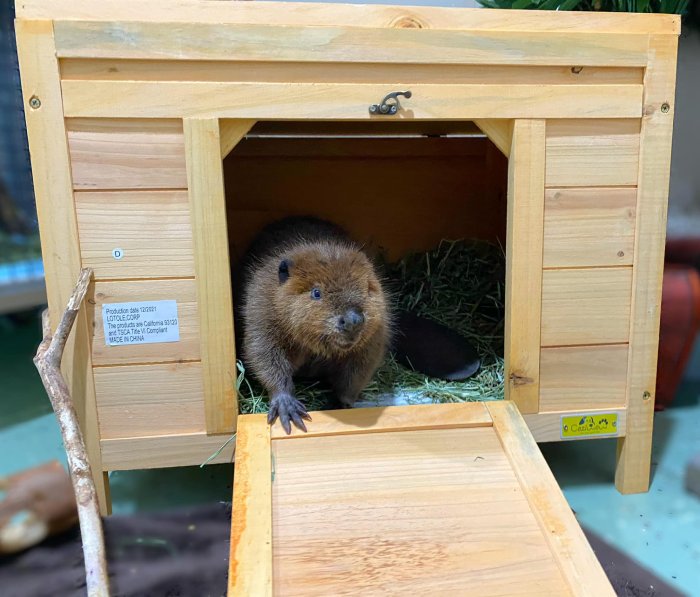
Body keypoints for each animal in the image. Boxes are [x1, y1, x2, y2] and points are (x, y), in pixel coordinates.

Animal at [237, 215, 392, 434]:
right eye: (316, 292)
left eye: (367, 288)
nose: (353, 320)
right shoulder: (261, 309)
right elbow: (263, 354)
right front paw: (288, 408)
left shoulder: (376, 334)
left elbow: (359, 369)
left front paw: (340, 403)